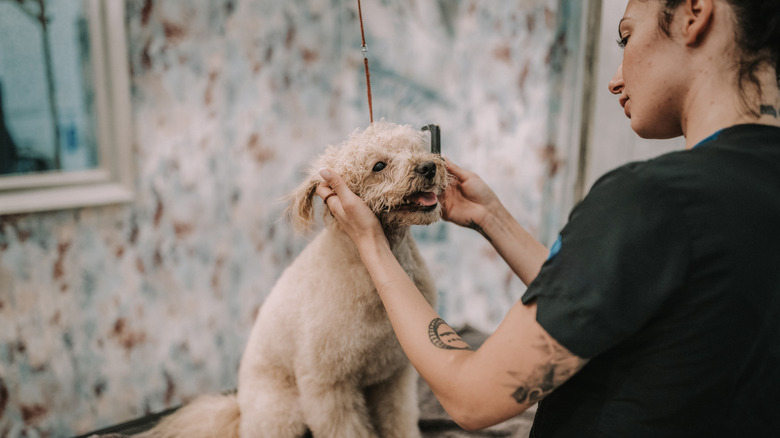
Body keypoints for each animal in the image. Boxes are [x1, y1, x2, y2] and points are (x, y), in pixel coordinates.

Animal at [137, 120, 448, 438]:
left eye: (416, 147)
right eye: (379, 166)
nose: (427, 167)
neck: (376, 273)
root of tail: (240, 414)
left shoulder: (392, 377)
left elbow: (398, 419)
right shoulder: (328, 386)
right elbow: (345, 427)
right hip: (283, 412)